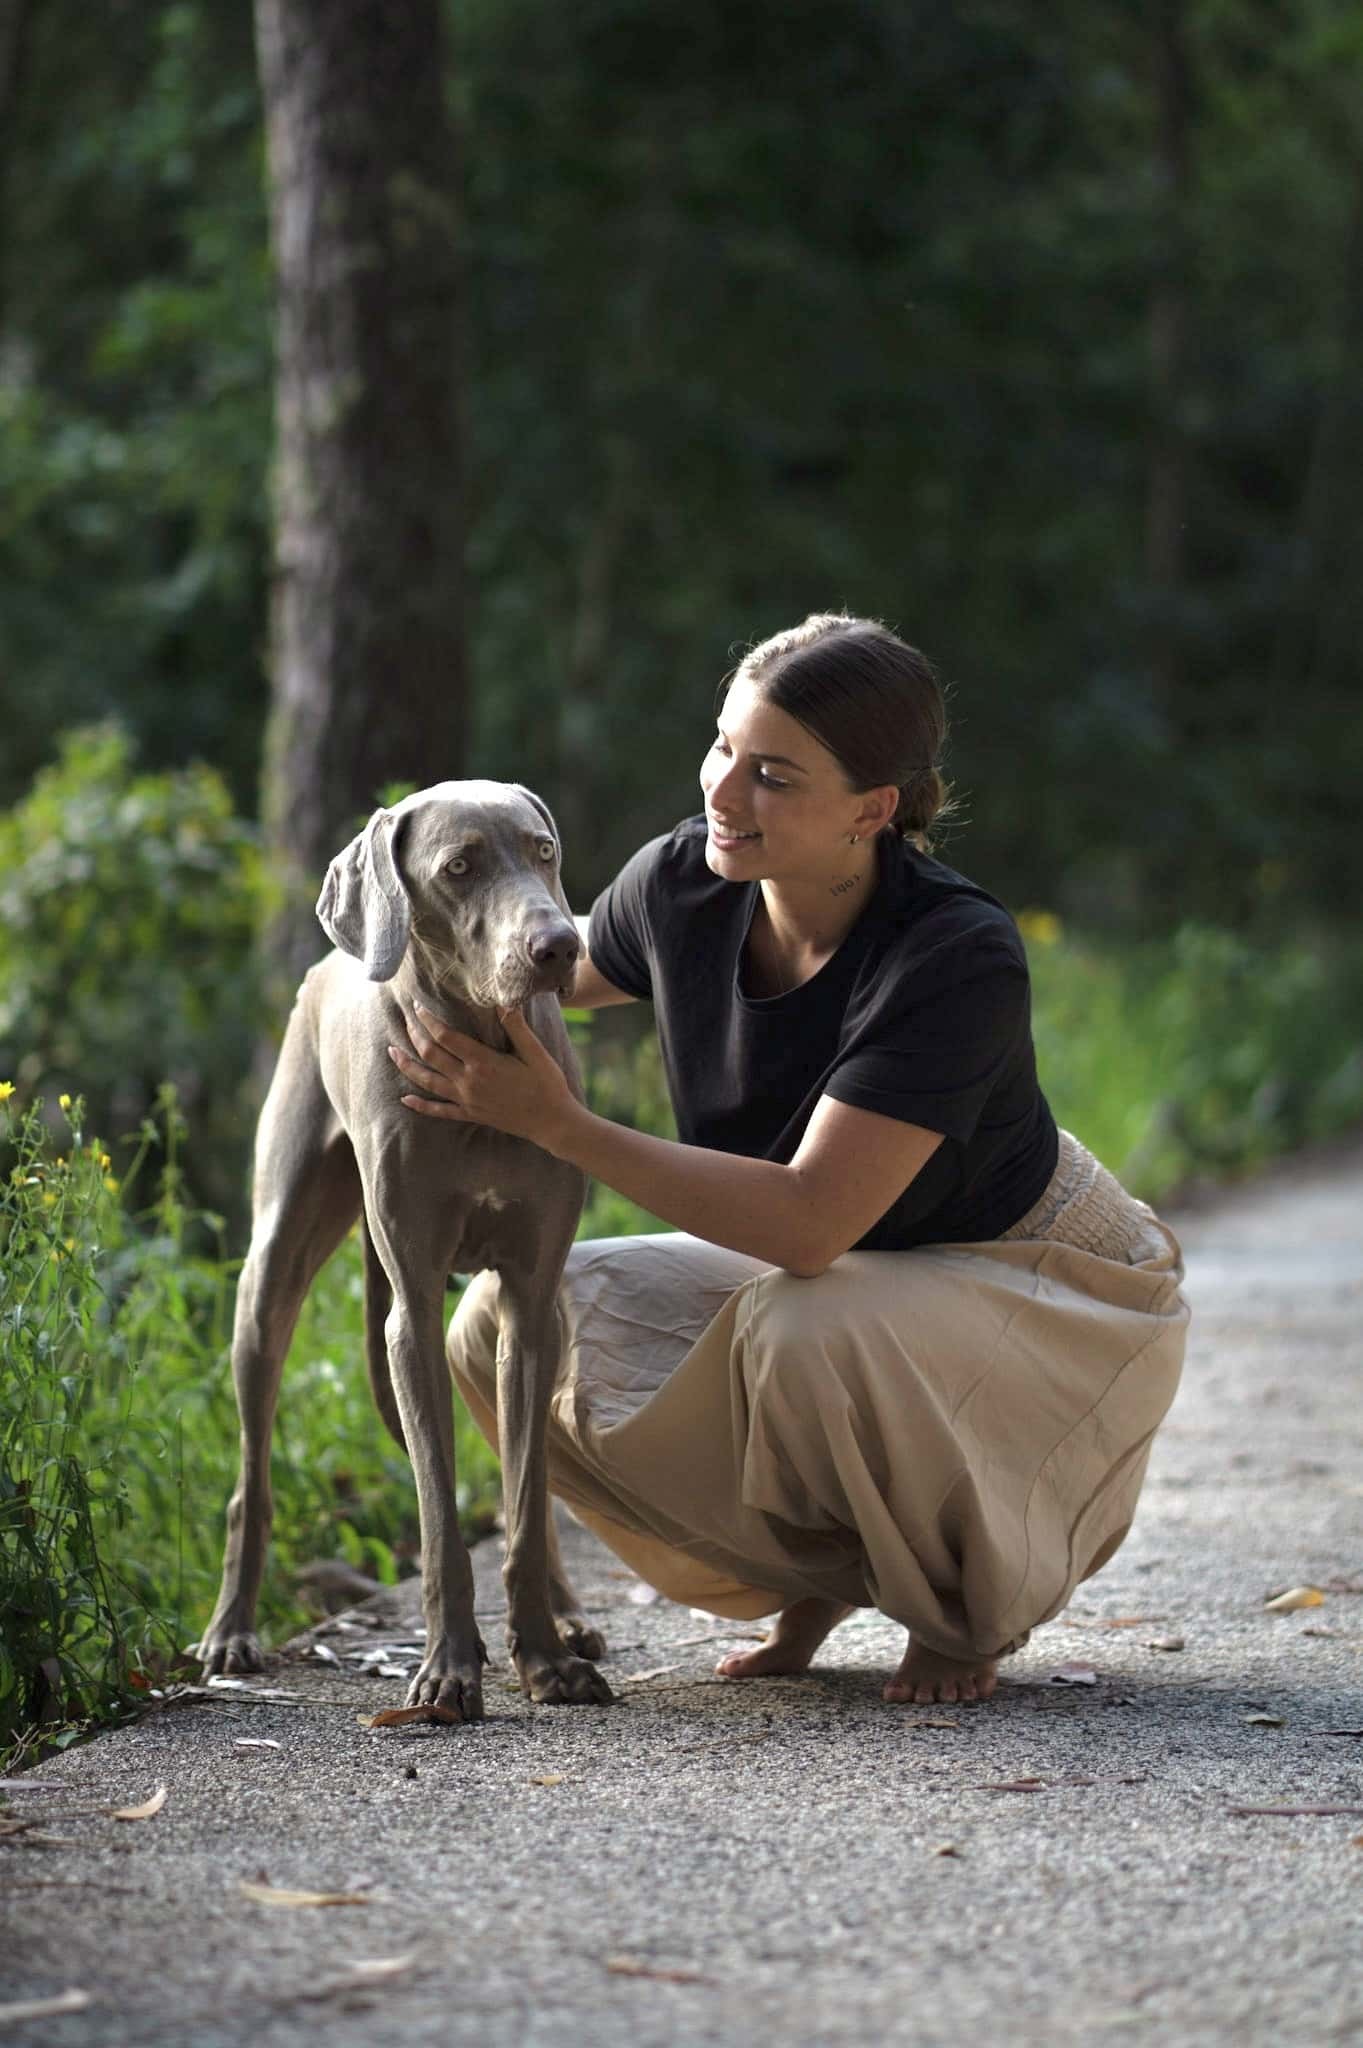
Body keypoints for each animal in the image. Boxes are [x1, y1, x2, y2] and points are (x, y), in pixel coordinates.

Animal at [192, 774, 609, 1720]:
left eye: (543, 852)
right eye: (459, 868)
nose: (559, 947)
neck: (484, 1050)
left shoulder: (530, 1301)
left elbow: (524, 1499)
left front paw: (544, 1658)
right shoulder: (412, 1311)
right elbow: (440, 1515)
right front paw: (449, 1669)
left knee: (530, 1486)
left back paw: (569, 1616)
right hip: (270, 1278)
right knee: (249, 1479)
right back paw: (232, 1631)